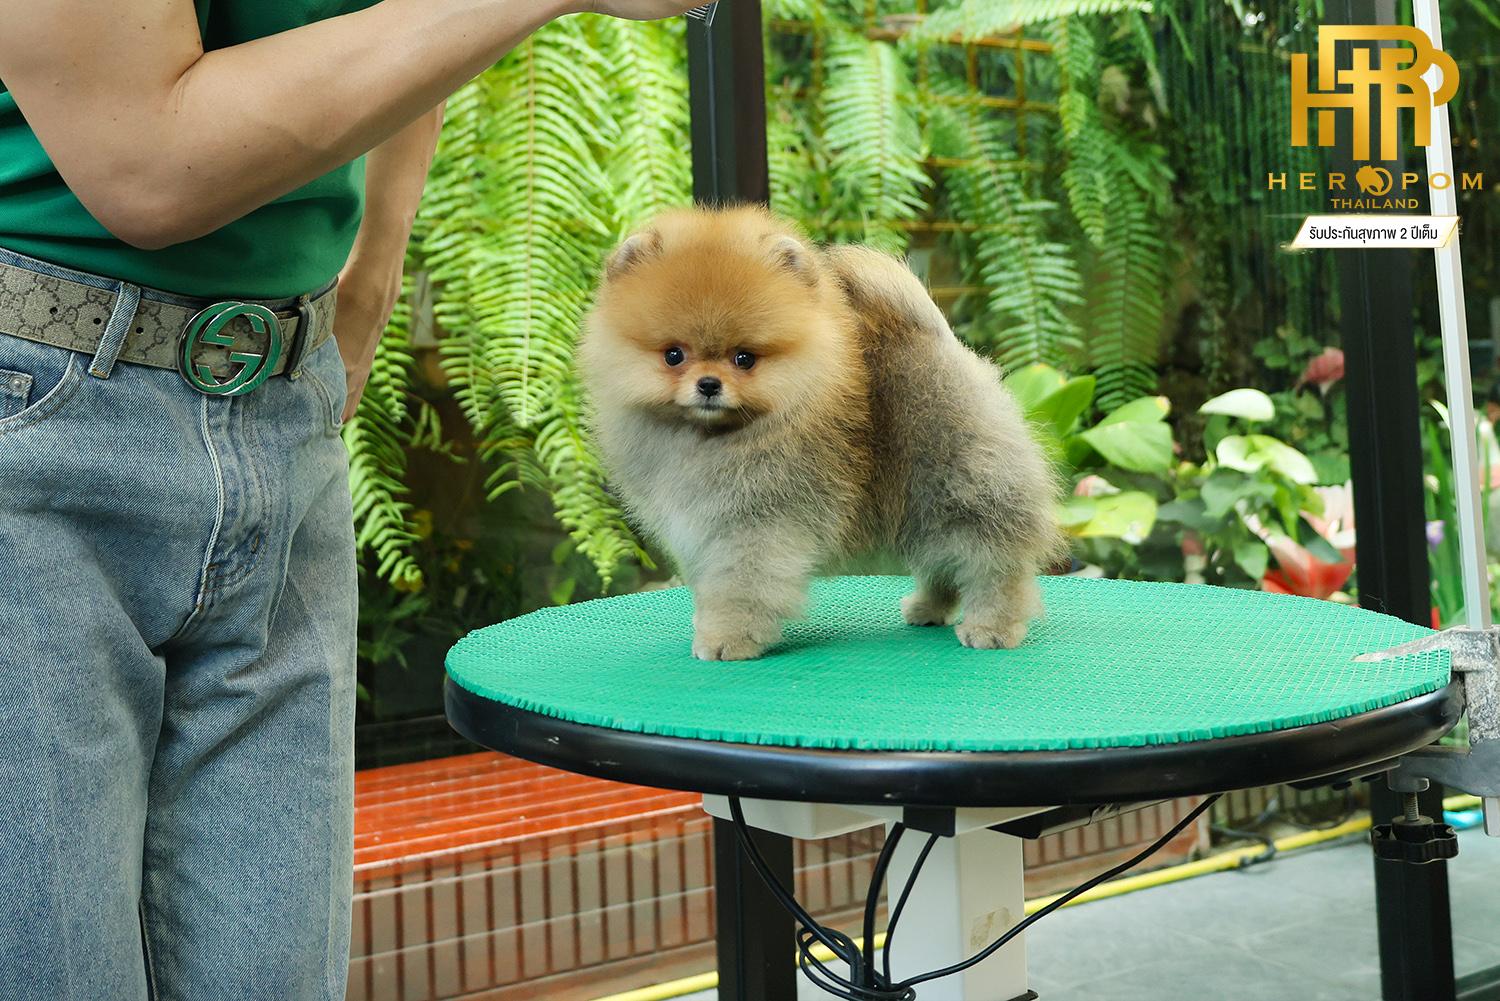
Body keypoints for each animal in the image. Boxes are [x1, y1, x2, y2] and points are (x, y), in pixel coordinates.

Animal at [577, 205, 1067, 661]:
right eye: (673, 355)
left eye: (744, 358)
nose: (709, 385)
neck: (714, 436)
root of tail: (940, 343)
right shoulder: (700, 529)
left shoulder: (755, 525)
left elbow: (740, 587)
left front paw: (727, 640)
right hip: (922, 509)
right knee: (941, 563)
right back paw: (927, 609)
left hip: (961, 490)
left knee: (993, 564)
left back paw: (992, 628)